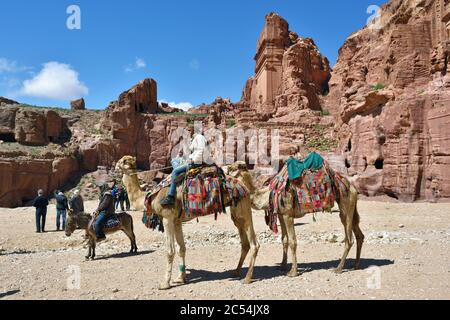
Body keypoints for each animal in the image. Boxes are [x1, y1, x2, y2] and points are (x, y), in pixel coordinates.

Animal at [115, 156, 260, 290]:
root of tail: (244, 186)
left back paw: (247, 278)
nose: (115, 167)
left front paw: (165, 283)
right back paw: (236, 272)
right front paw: (180, 278)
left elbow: (170, 250)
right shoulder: (177, 221)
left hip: (244, 208)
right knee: (245, 243)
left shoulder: (167, 218)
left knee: (254, 244)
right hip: (237, 213)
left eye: (123, 161)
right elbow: (182, 249)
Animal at [230, 164, 364, 276]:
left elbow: (293, 242)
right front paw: (282, 265)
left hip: (345, 204)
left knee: (349, 238)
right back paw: (356, 265)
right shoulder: (281, 215)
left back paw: (339, 268)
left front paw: (293, 271)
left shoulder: (288, 215)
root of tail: (352, 187)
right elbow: (284, 239)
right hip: (351, 207)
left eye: (232, 168)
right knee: (359, 235)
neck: (268, 195)